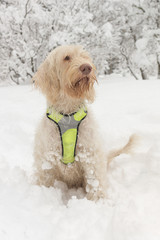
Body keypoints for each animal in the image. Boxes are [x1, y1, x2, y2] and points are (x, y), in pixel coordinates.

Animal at [32, 44, 135, 201]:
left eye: (85, 57)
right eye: (66, 57)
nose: (87, 67)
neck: (68, 113)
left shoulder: (90, 153)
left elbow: (95, 180)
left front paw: (98, 201)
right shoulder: (47, 157)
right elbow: (45, 178)